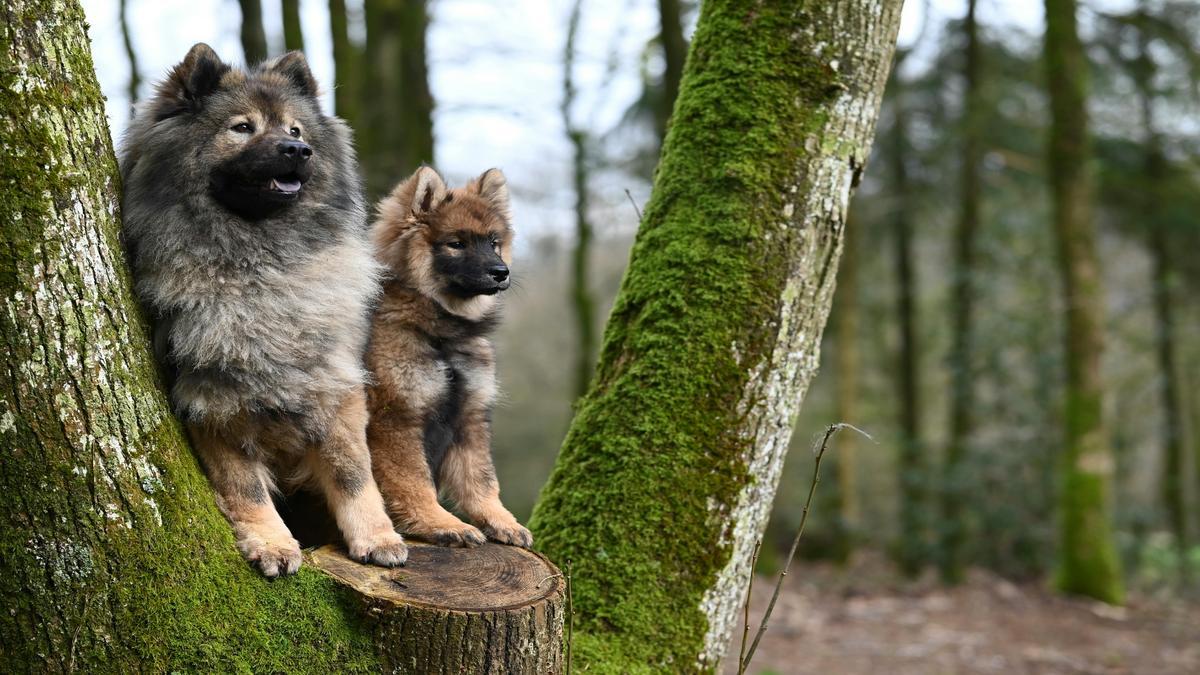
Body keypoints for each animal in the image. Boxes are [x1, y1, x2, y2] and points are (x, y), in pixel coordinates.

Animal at [367, 166, 532, 547]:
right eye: (456, 244)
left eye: (493, 242)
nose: (501, 273)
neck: (441, 336)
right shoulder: (397, 418)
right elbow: (414, 482)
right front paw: (440, 523)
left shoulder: (469, 416)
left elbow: (481, 479)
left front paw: (502, 521)